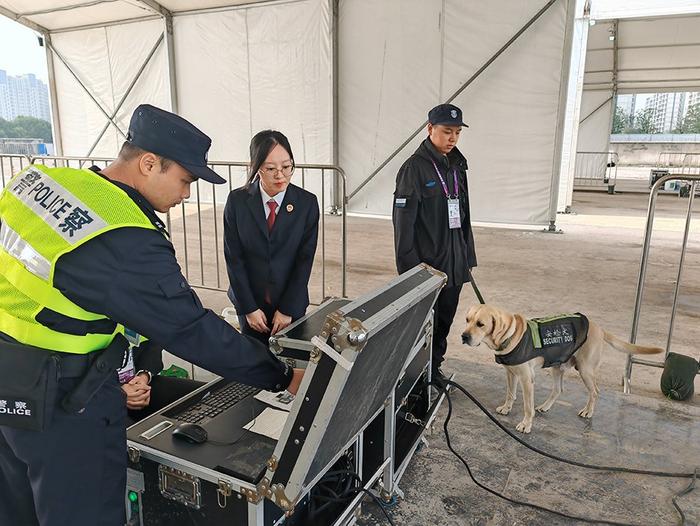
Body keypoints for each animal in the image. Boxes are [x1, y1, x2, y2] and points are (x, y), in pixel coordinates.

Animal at [460, 306, 660, 438]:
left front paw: (526, 424)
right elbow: (510, 394)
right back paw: (545, 406)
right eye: (467, 320)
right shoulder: (511, 372)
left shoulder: (526, 378)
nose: (464, 336)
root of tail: (599, 328)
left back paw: (588, 411)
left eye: (481, 324)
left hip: (586, 370)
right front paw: (506, 408)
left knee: (595, 391)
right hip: (557, 366)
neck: (510, 335)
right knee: (558, 389)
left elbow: (527, 406)